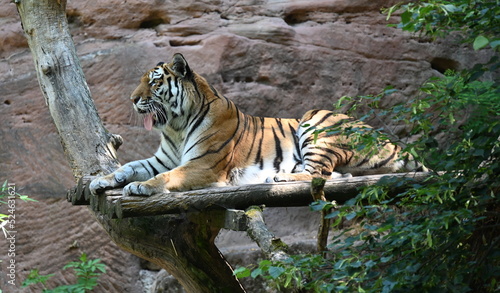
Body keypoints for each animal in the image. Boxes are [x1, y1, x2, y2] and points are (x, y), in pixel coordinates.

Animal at [89, 53, 426, 195]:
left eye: (154, 82)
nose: (132, 99)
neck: (176, 126)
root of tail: (390, 141)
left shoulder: (203, 164)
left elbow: (166, 177)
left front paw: (140, 187)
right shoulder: (162, 159)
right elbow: (129, 165)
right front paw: (101, 180)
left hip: (317, 120)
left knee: (319, 174)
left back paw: (278, 178)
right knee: (335, 175)